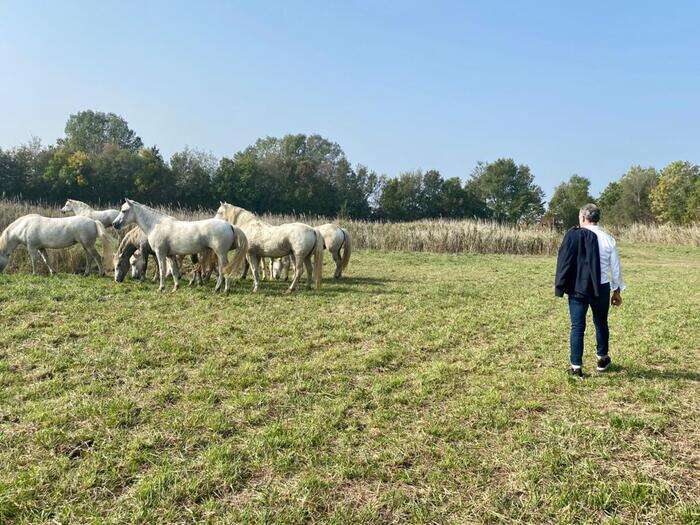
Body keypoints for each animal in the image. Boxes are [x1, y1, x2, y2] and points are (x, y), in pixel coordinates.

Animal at [113, 200, 247, 292]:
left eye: (124, 211)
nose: (115, 224)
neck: (156, 225)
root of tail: (230, 225)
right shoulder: (170, 255)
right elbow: (174, 270)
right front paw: (175, 287)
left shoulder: (160, 253)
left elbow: (162, 269)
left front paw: (161, 288)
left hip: (221, 253)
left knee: (225, 269)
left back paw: (223, 289)